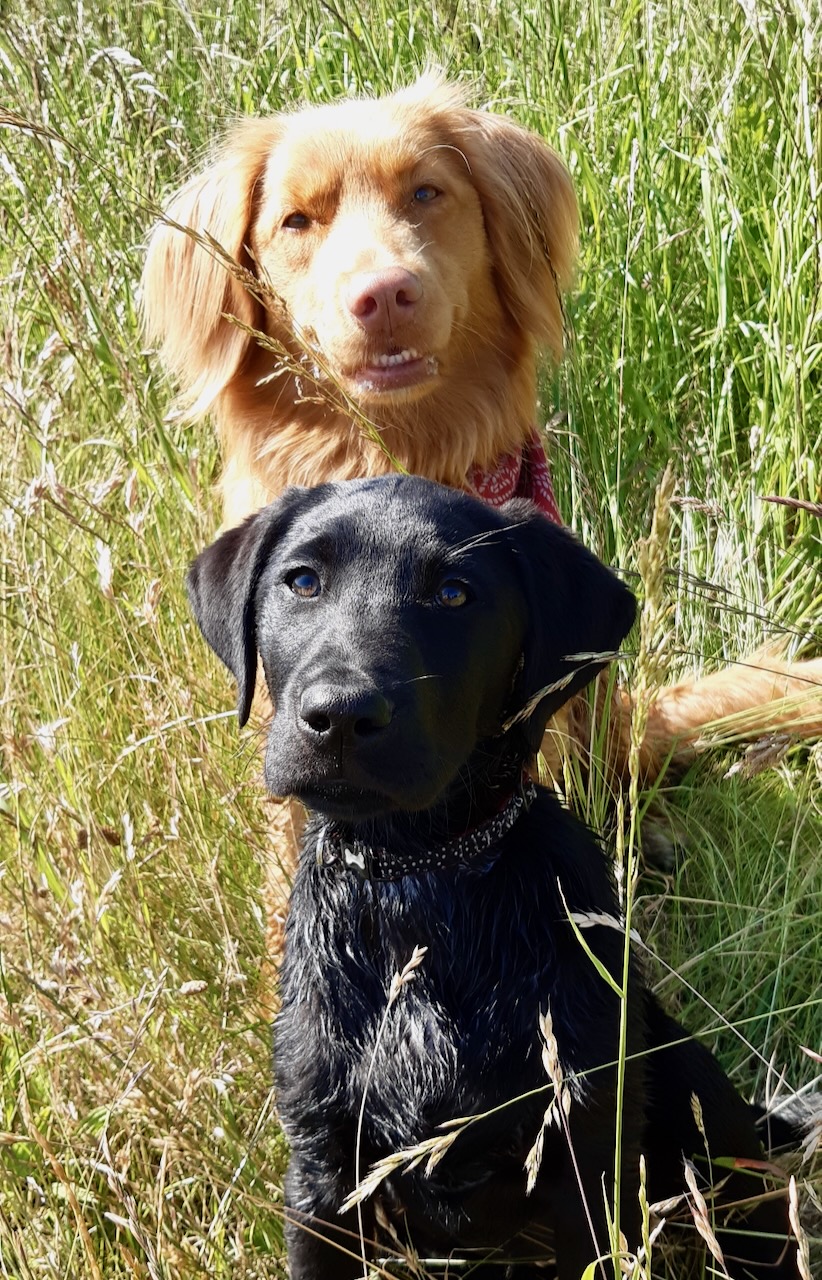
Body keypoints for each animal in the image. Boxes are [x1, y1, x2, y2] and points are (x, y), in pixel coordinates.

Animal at [186, 476, 793, 1274]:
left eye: (454, 594)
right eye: (303, 581)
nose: (340, 715)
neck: (416, 878)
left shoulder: (582, 1158)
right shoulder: (320, 1168)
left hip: (697, 1098)